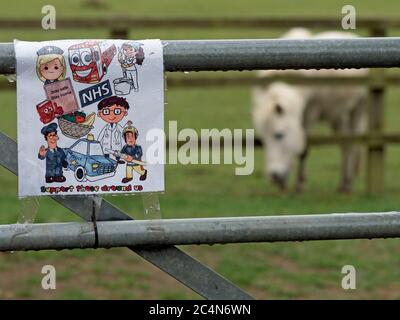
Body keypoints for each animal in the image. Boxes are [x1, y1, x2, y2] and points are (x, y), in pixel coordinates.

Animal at [253, 28, 368, 191]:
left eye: (279, 135)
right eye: (262, 139)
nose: (274, 177)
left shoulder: (310, 113)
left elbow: (304, 149)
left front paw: (300, 184)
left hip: (358, 108)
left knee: (353, 142)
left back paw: (348, 183)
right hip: (337, 115)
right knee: (344, 144)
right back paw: (343, 183)